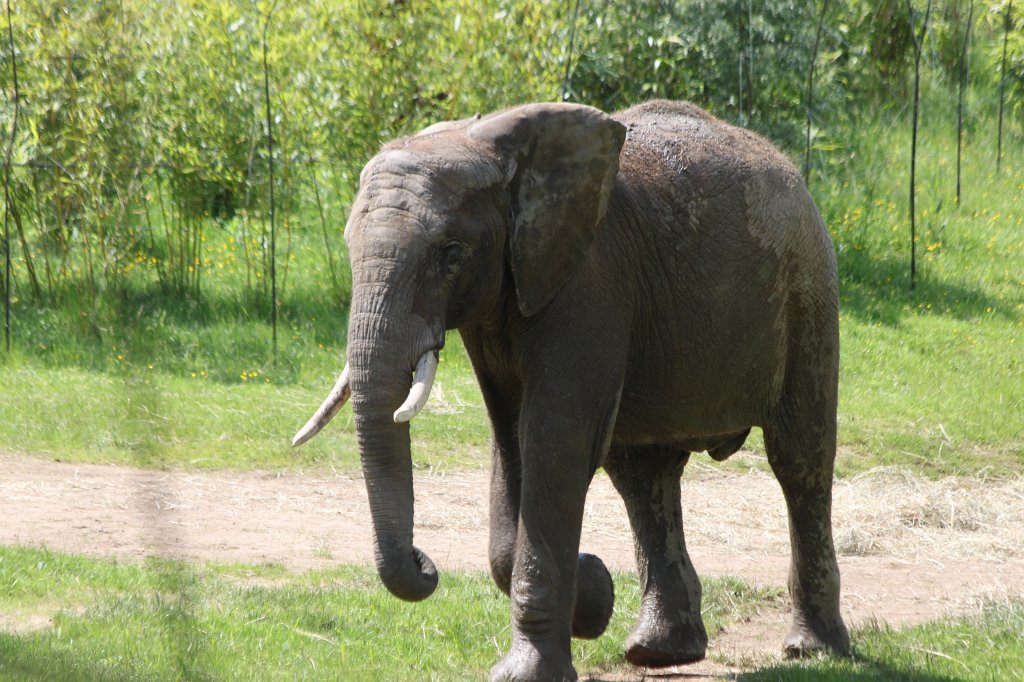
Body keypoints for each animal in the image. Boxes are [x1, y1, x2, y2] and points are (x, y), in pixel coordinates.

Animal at [293, 99, 850, 681]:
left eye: (451, 252)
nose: (427, 565)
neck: (488, 145)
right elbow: (510, 442)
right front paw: (595, 594)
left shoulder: (589, 282)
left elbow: (553, 441)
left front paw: (532, 664)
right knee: (642, 475)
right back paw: (659, 651)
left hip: (808, 286)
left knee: (800, 459)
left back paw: (814, 650)